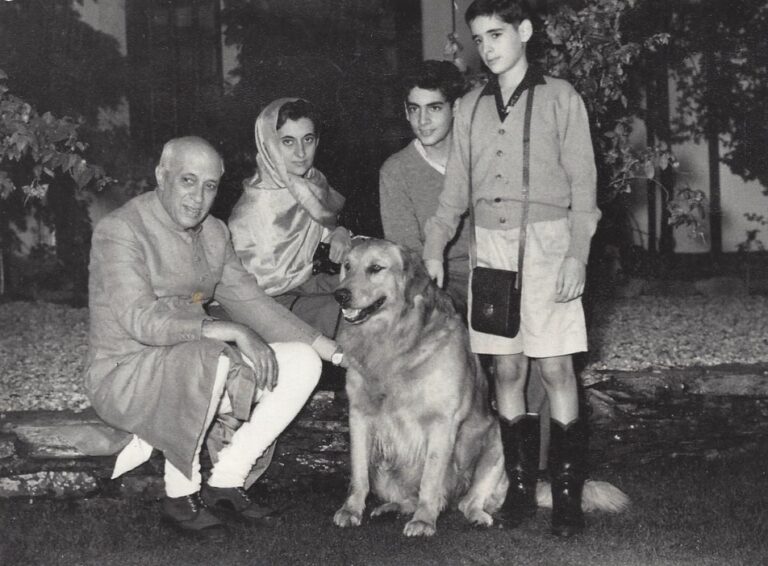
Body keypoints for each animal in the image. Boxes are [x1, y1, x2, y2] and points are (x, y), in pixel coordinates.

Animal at [332, 240, 628, 540]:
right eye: (347, 266)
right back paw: (390, 507)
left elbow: (430, 479)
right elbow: (358, 474)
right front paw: (351, 510)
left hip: (496, 442)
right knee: (407, 498)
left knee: (468, 502)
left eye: (376, 268)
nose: (340, 295)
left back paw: (477, 516)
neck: (394, 340)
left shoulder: (442, 422)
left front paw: (424, 521)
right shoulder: (359, 415)